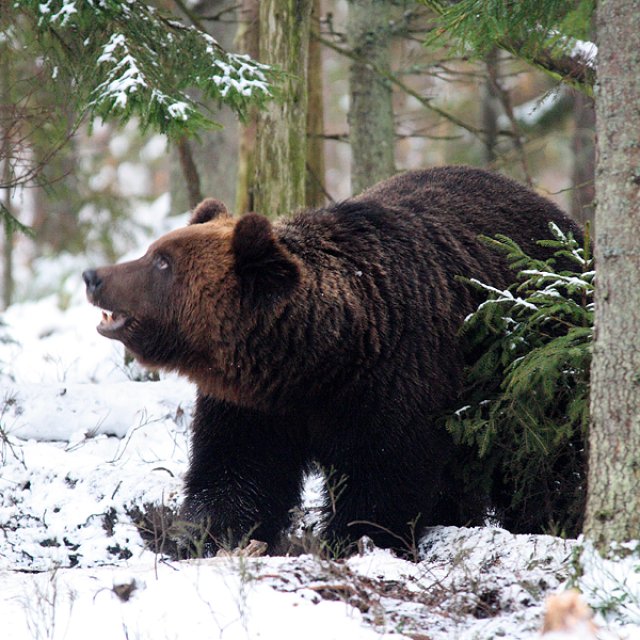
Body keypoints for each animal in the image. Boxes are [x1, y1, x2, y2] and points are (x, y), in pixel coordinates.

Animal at [82, 168, 584, 556]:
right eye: (154, 250)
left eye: (162, 262)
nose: (93, 275)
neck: (318, 360)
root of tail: (566, 221)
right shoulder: (254, 406)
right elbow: (237, 471)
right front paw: (200, 537)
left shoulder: (396, 379)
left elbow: (381, 479)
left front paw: (355, 542)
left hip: (533, 368)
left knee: (544, 461)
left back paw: (551, 522)